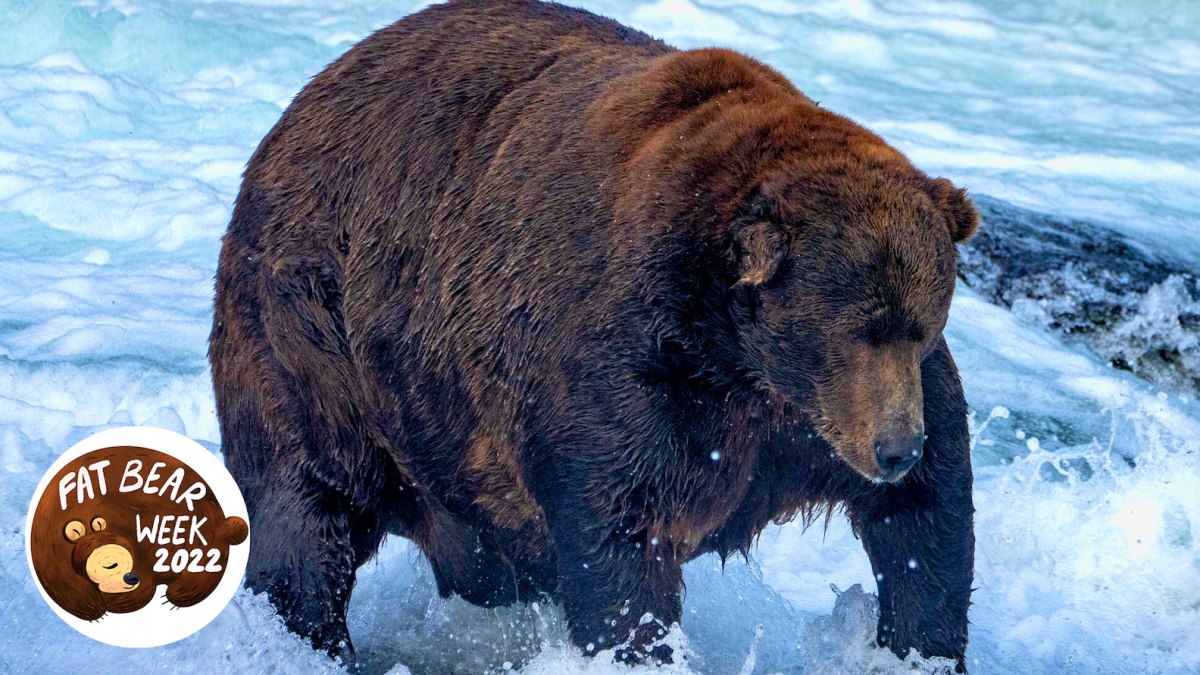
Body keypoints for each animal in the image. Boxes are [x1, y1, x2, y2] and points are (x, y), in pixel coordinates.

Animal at [206, 0, 974, 667]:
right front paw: (640, 644)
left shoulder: (809, 423)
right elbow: (620, 535)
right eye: (855, 330)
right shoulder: (630, 373)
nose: (895, 448)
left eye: (920, 324)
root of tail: (302, 102)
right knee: (308, 506)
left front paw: (919, 645)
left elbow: (926, 518)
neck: (739, 359)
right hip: (316, 335)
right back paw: (307, 633)